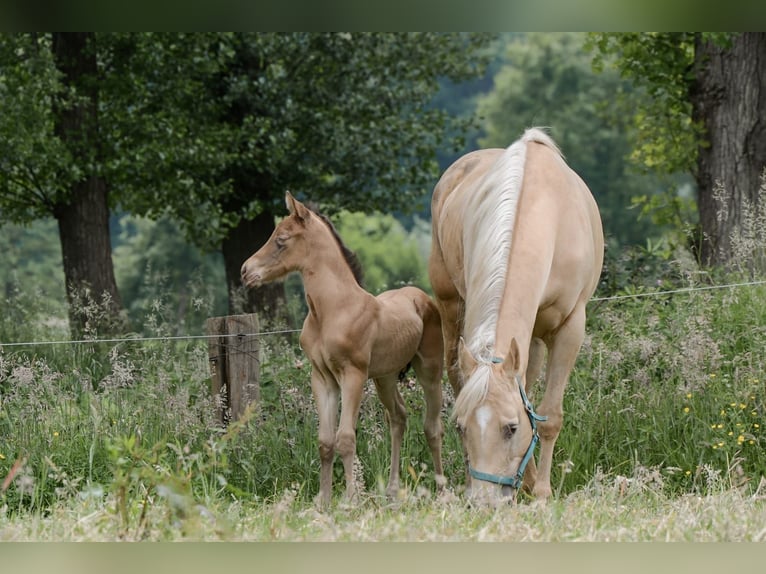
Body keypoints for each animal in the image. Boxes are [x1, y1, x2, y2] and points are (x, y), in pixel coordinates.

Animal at [240, 194, 444, 508]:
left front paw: (351, 501)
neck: (332, 310)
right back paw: (392, 491)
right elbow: (325, 441)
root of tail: (423, 298)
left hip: (430, 372)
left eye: (281, 240)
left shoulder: (353, 375)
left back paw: (444, 491)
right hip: (384, 378)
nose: (245, 271)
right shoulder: (322, 378)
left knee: (433, 427)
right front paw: (323, 502)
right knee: (398, 418)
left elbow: (345, 437)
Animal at [428, 129, 604, 504]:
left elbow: (548, 417)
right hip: (449, 304)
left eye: (510, 428)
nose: (483, 502)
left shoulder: (570, 328)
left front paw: (542, 493)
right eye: (460, 427)